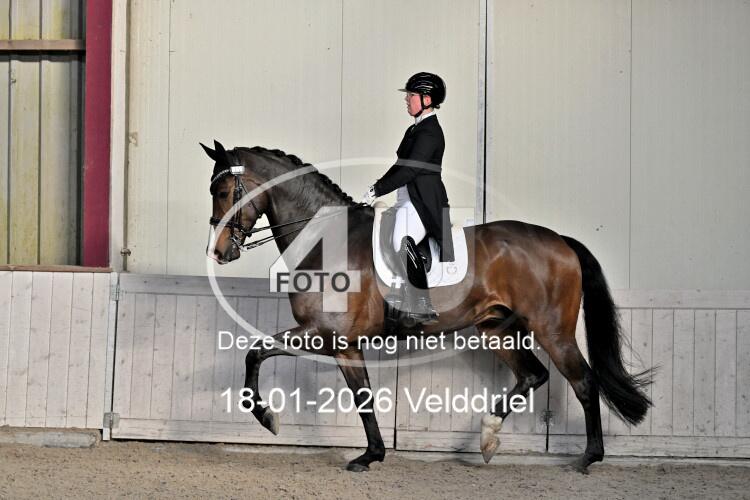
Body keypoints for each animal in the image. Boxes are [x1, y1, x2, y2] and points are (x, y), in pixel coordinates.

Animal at [201, 140, 652, 473]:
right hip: (497, 329)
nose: (219, 253)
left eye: (223, 192)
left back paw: (587, 458)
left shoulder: (326, 334)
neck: (327, 241)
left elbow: (256, 352)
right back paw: (488, 436)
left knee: (583, 381)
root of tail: (560, 240)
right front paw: (372, 454)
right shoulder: (345, 344)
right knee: (533, 375)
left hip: (551, 329)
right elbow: (362, 396)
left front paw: (268, 419)